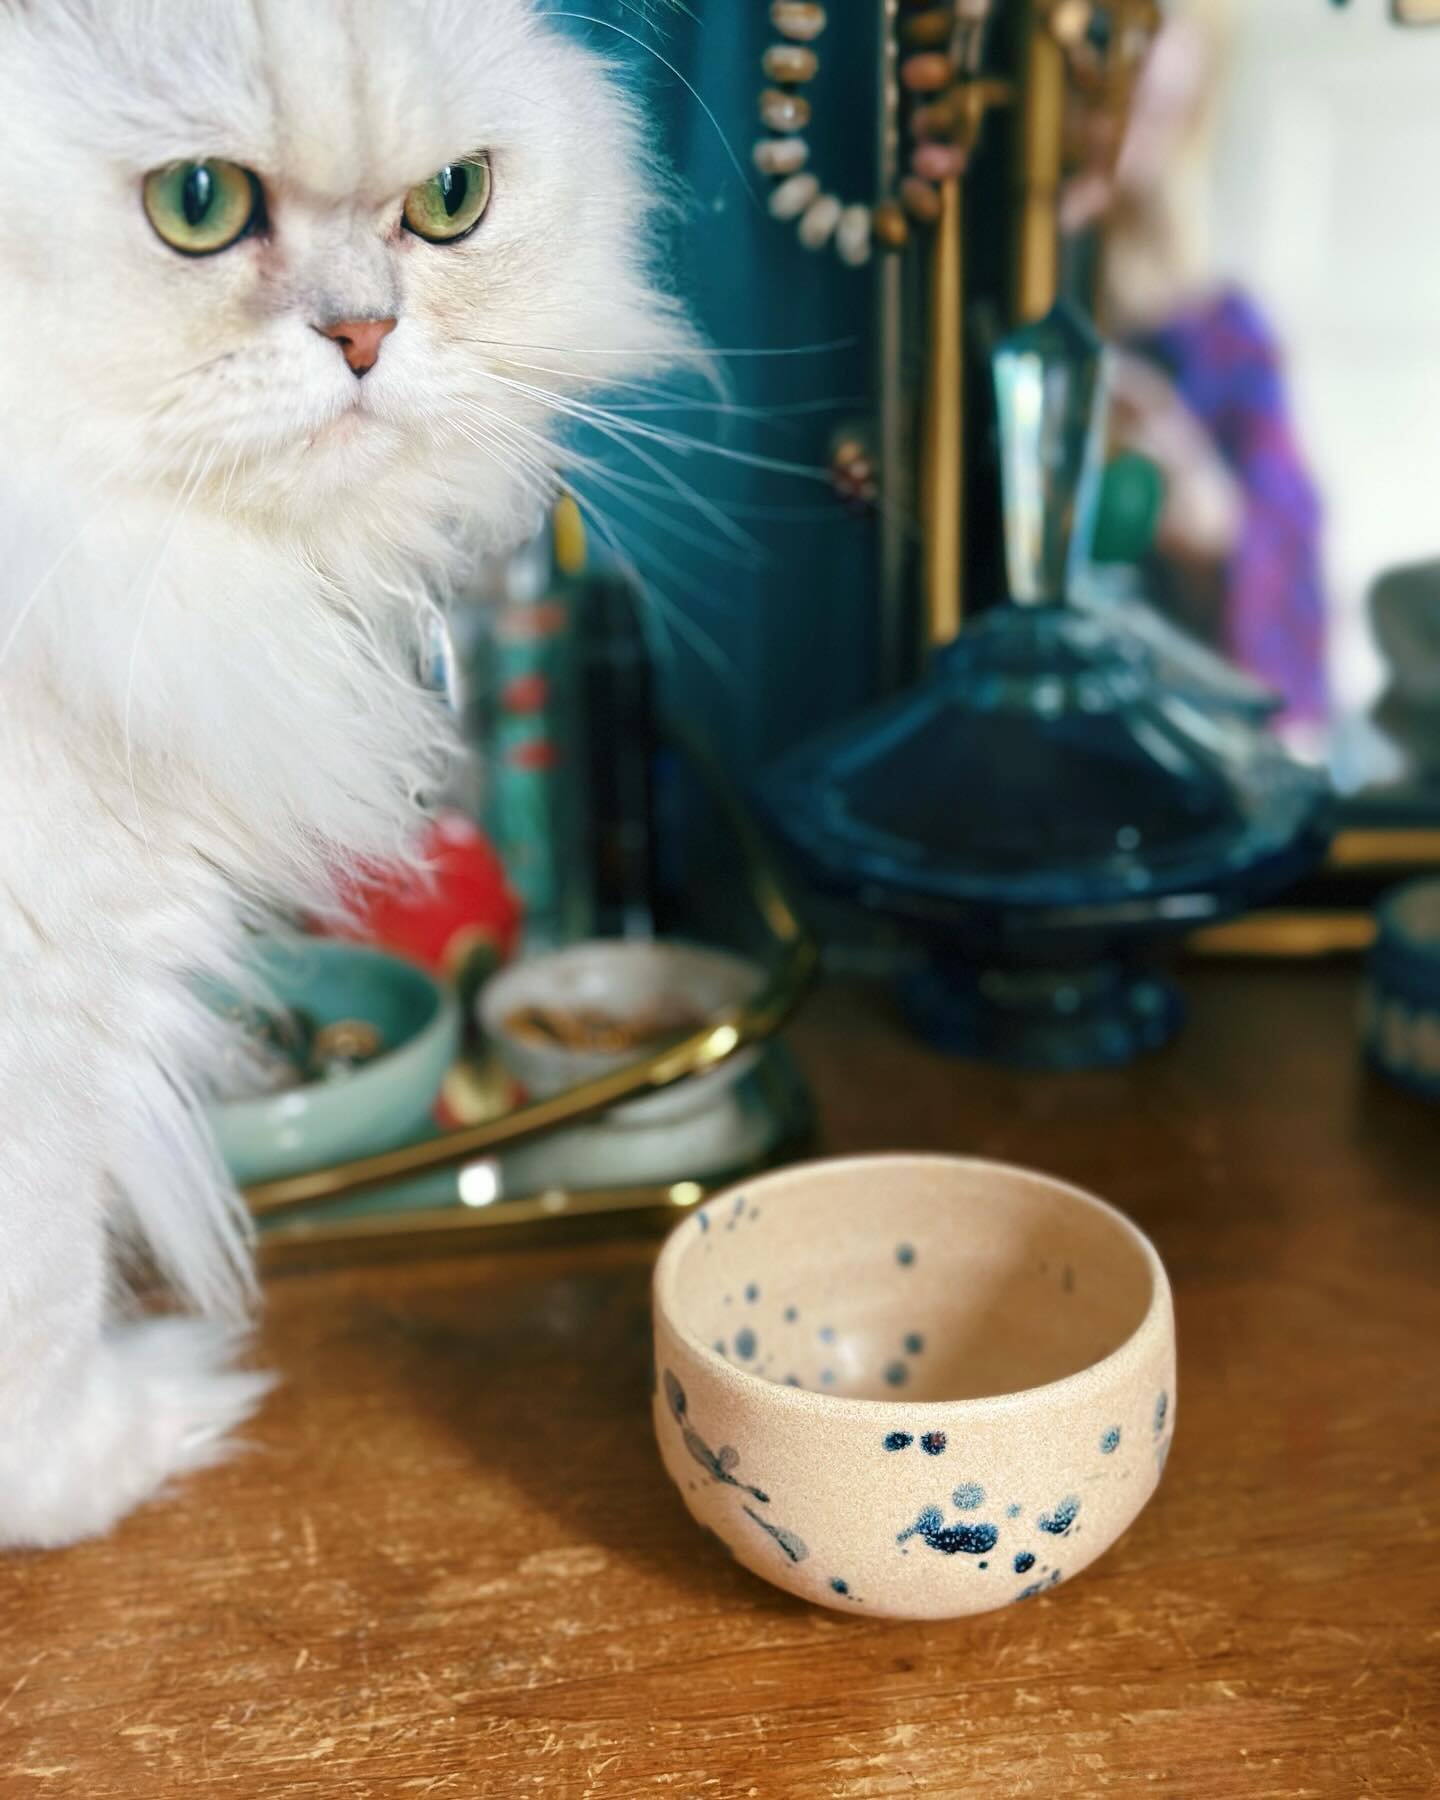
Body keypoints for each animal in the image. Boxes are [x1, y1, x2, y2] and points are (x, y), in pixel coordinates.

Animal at [0, 0, 687, 1548]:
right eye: (198, 205)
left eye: (451, 202)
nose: (369, 334)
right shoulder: (44, 1014)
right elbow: (49, 1301)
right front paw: (121, 1452)